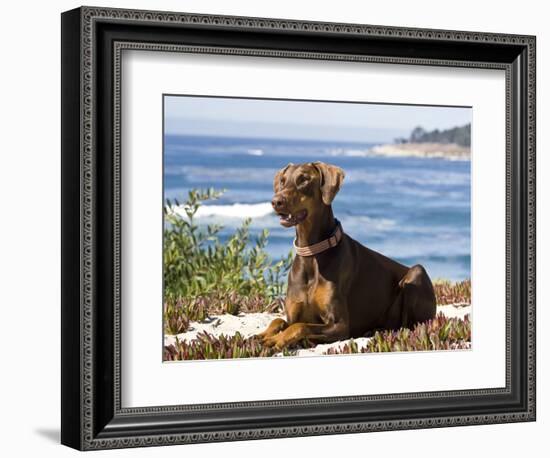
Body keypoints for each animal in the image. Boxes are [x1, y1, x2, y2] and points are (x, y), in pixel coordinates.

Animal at [260, 162, 440, 350]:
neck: (312, 252)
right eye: (282, 180)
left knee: (405, 326)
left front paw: (276, 340)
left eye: (304, 179)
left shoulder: (340, 325)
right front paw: (261, 335)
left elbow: (300, 326)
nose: (276, 201)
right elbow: (279, 320)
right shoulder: (294, 314)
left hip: (417, 273)